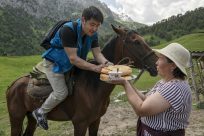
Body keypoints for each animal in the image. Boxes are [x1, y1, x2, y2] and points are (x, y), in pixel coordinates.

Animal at [5, 25, 156, 135]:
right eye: (136, 42)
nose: (156, 64)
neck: (93, 87)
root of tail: (12, 85)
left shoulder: (96, 121)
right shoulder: (80, 123)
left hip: (30, 119)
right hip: (16, 119)